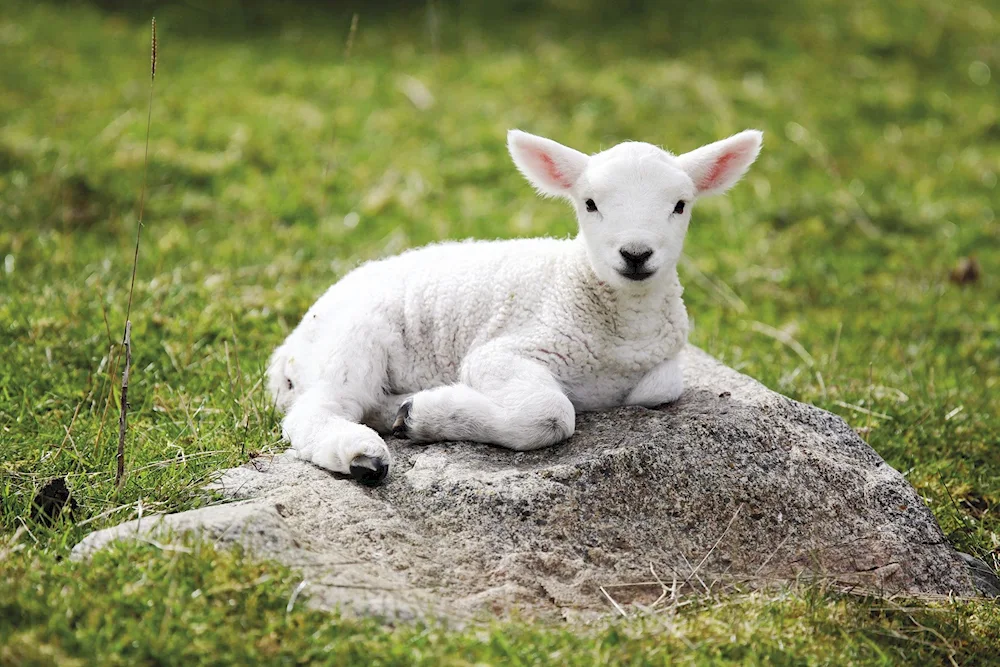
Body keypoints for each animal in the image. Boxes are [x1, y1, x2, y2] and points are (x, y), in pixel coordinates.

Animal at [262, 129, 760, 486]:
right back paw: (361, 455)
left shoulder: (661, 368)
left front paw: (422, 412)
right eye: (590, 204)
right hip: (349, 341)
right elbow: (551, 414)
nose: (635, 254)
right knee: (318, 409)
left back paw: (399, 412)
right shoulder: (503, 352)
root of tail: (287, 351)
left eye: (680, 205)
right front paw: (434, 414)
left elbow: (661, 387)